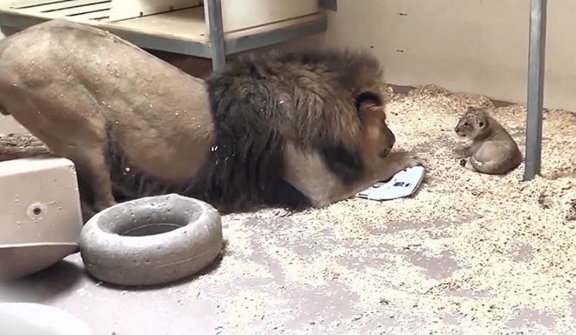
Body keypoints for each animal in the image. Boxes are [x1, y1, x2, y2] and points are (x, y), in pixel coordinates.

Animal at [0, 19, 424, 219]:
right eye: (384, 120)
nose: (391, 136)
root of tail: (8, 46)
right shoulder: (319, 187)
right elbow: (369, 171)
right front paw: (406, 157)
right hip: (83, 130)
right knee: (100, 202)